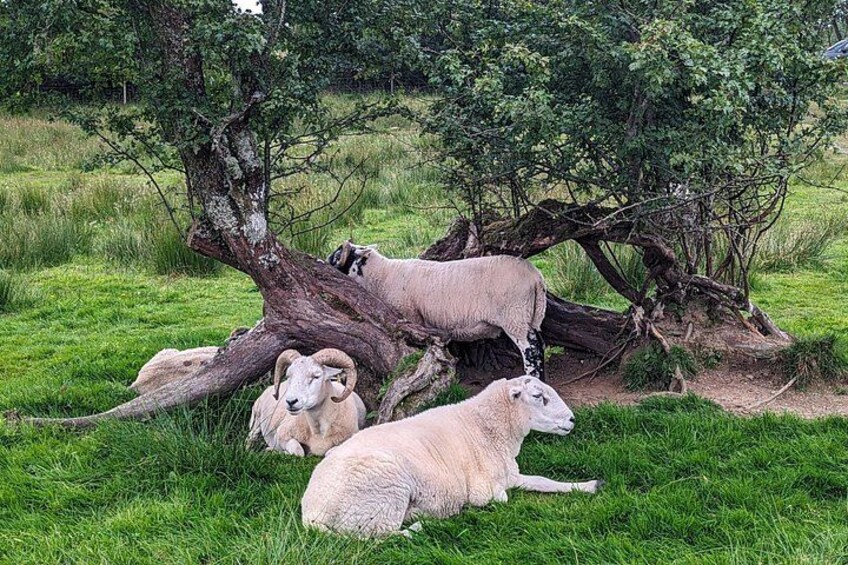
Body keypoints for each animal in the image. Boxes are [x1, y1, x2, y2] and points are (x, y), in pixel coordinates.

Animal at [301, 375, 603, 537]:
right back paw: (419, 523)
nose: (572, 420)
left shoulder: (509, 473)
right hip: (382, 500)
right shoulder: (486, 489)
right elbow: (501, 498)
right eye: (539, 396)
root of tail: (312, 513)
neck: (488, 426)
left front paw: (589, 486)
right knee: (380, 536)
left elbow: (543, 481)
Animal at [328, 241, 548, 379]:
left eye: (336, 256)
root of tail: (536, 277)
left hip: (514, 316)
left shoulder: (411, 316)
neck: (381, 277)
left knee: (530, 350)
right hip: (529, 316)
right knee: (538, 348)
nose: (323, 262)